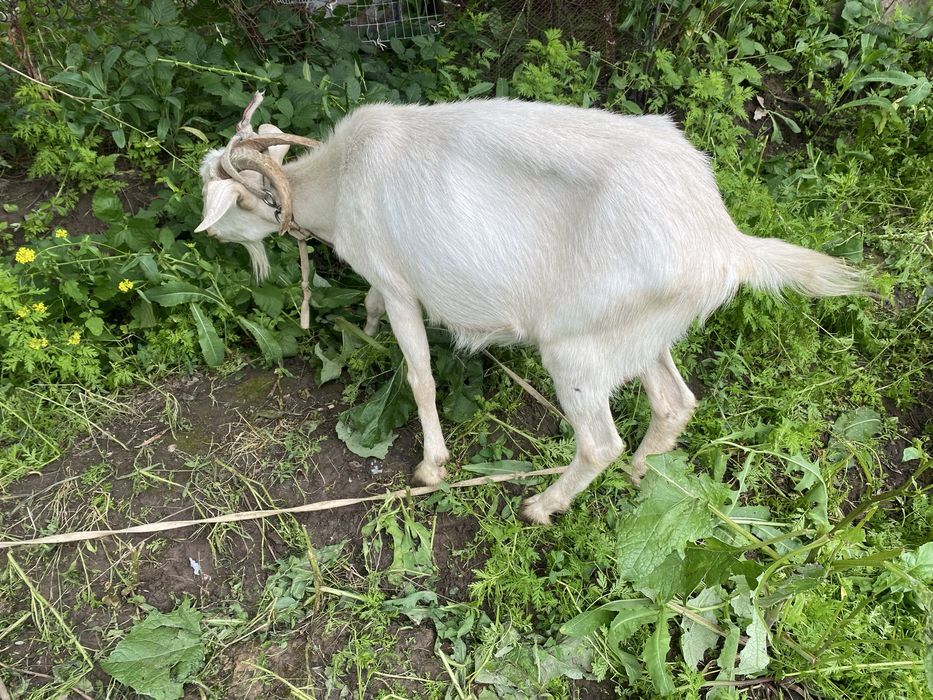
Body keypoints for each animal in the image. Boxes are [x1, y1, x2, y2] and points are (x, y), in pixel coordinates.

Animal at [196, 94, 863, 524]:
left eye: (222, 200)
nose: (201, 234)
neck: (339, 182)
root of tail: (723, 240)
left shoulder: (401, 282)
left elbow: (420, 376)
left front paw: (431, 468)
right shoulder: (384, 280)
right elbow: (370, 304)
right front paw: (364, 329)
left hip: (577, 351)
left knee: (599, 443)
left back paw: (543, 506)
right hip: (637, 335)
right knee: (674, 403)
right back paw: (641, 478)